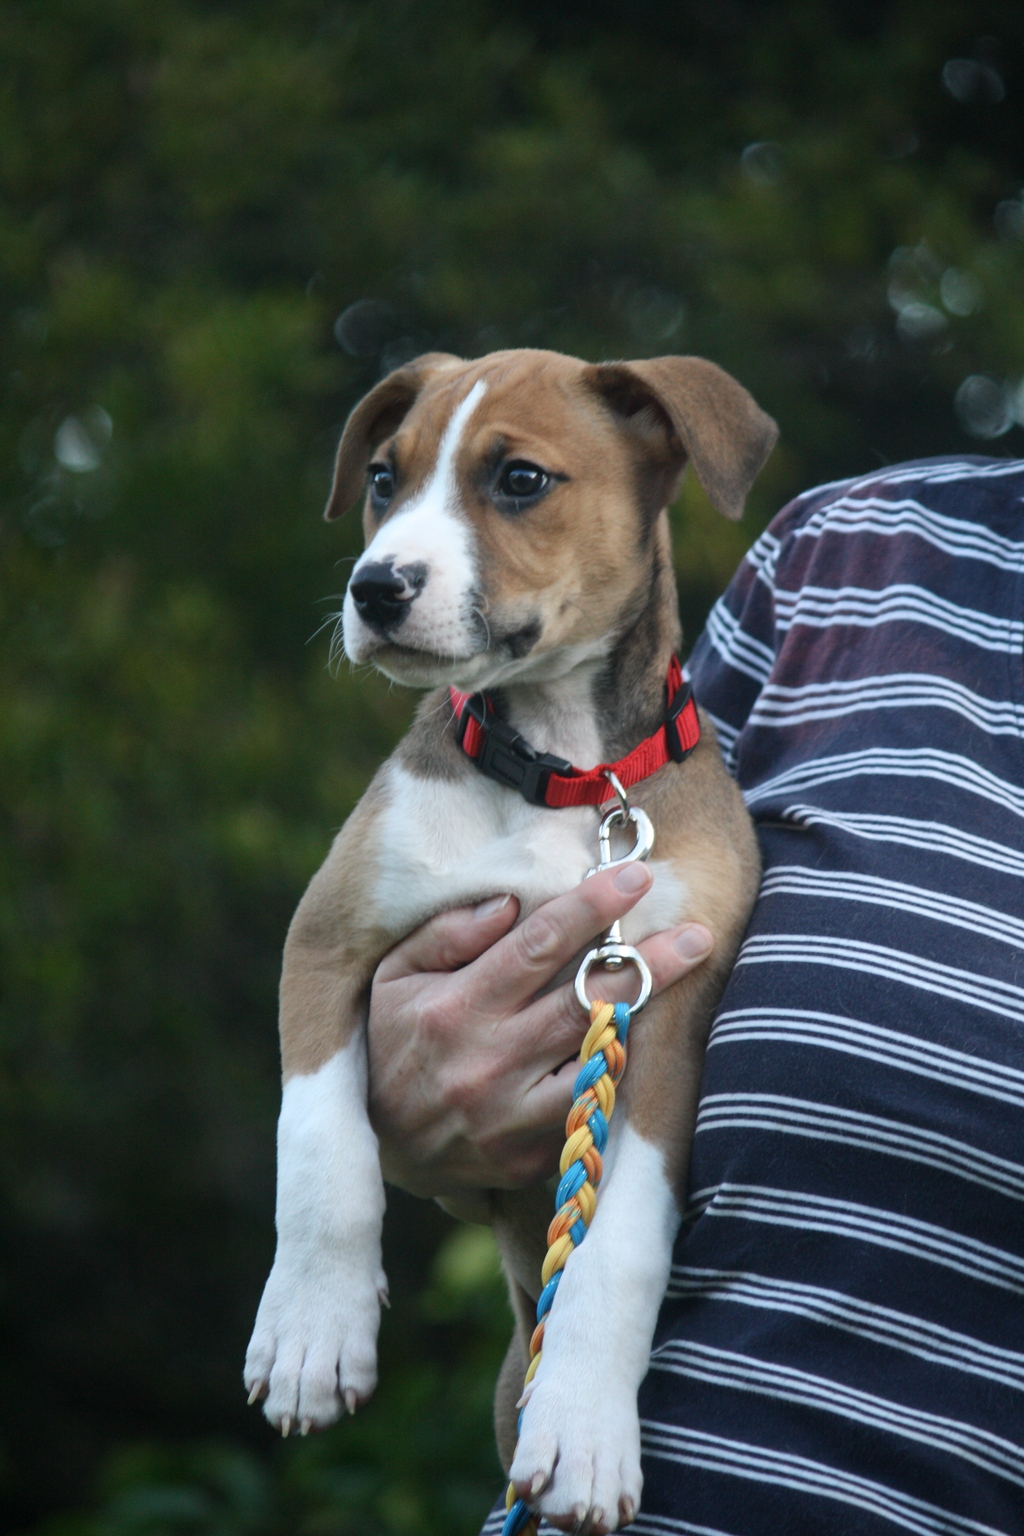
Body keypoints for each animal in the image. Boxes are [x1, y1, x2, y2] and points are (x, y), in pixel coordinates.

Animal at [244, 348, 773, 1532]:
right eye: (383, 478)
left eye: (521, 480)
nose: (376, 587)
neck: (563, 769)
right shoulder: (326, 939)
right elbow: (320, 1149)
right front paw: (311, 1330)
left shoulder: (671, 1016)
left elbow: (623, 1240)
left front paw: (583, 1429)